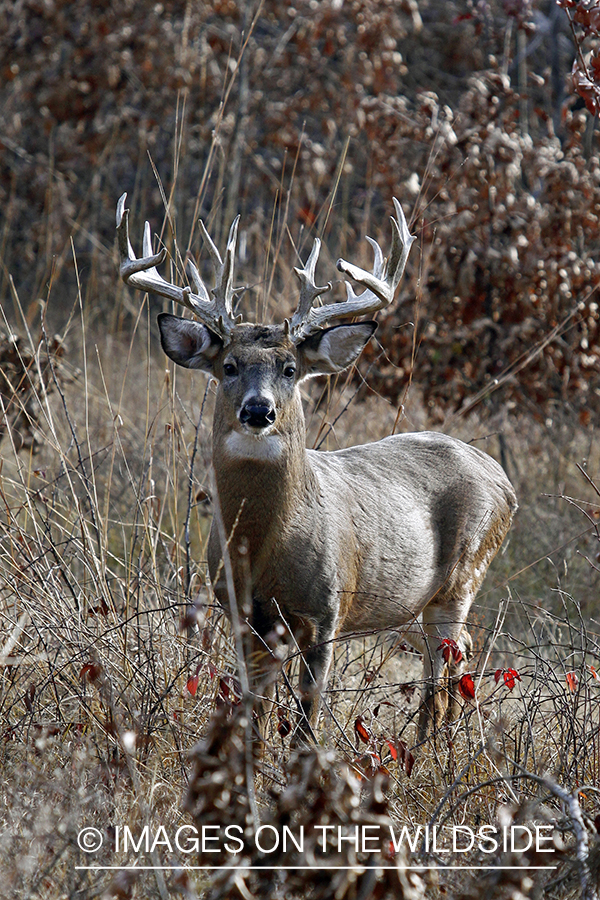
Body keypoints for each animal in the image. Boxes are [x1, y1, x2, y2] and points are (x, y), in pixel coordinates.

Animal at [116, 195, 516, 744]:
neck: (265, 549)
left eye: (290, 369)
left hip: (464, 578)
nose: (258, 411)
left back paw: (430, 751)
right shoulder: (243, 615)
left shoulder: (327, 612)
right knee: (457, 662)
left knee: (446, 672)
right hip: (411, 604)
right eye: (228, 367)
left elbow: (307, 722)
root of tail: (503, 480)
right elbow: (253, 714)